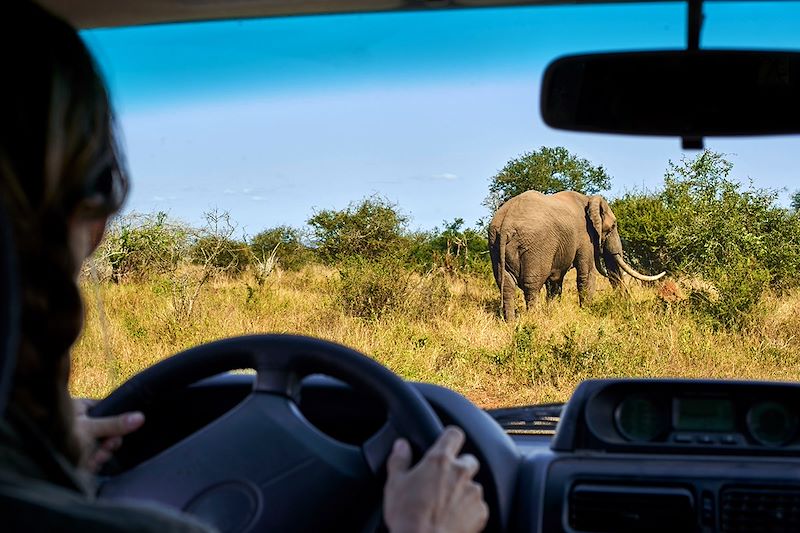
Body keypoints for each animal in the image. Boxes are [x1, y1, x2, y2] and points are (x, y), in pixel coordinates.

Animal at [488, 189, 668, 318]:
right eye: (612, 227)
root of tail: (506, 224)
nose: (626, 303)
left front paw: (554, 311)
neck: (588, 200)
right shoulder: (585, 235)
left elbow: (555, 281)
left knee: (506, 285)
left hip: (494, 244)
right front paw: (587, 311)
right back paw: (533, 319)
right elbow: (586, 274)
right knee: (531, 285)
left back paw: (510, 322)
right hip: (535, 246)